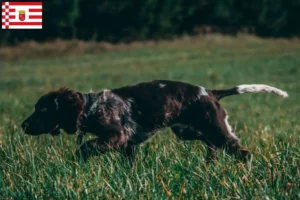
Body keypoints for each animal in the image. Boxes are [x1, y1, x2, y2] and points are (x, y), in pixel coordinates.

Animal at [21, 80, 288, 163]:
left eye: (42, 110)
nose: (23, 125)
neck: (90, 107)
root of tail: (210, 92)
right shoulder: (128, 145)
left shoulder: (116, 136)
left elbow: (86, 146)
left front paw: (78, 161)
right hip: (188, 131)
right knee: (213, 145)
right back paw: (208, 164)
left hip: (214, 129)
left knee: (242, 151)